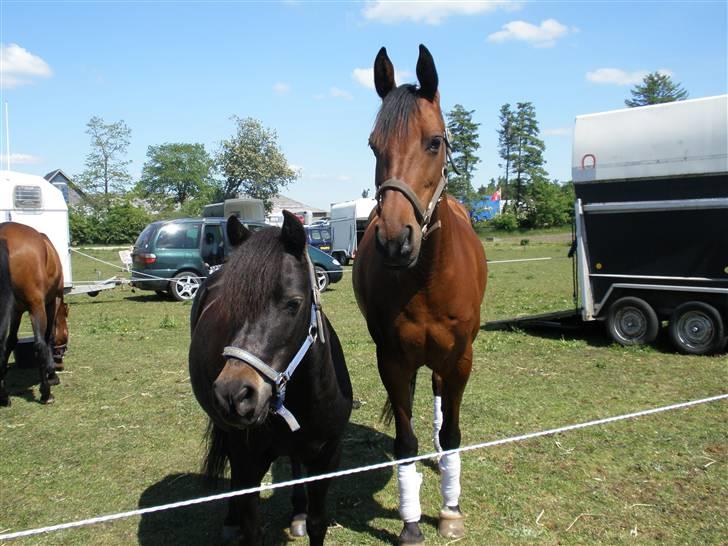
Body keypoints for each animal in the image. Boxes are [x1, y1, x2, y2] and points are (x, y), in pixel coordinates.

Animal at [0, 222, 69, 406]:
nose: (60, 364)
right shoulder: (51, 302)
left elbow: (10, 342)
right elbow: (47, 338)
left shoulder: (16, 311)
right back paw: (46, 394)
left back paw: (4, 396)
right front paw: (51, 374)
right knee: (39, 345)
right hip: (37, 305)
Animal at [189, 212, 353, 546]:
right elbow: (252, 528)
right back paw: (231, 519)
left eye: (293, 303)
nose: (235, 394)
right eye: (229, 303)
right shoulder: (248, 463)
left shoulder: (327, 457)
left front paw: (305, 516)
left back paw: (297, 511)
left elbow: (318, 522)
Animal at [352, 45, 487, 545]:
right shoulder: (392, 359)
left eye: (433, 142)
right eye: (374, 145)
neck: (427, 278)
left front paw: (450, 509)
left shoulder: (461, 358)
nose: (395, 241)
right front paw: (410, 520)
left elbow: (452, 433)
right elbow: (404, 441)